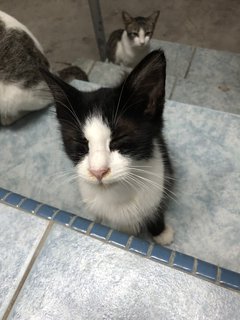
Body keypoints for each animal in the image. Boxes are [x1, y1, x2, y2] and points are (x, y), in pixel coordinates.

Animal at [42, 48, 174, 244]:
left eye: (119, 138)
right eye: (80, 142)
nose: (98, 172)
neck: (117, 194)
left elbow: (155, 208)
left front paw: (161, 232)